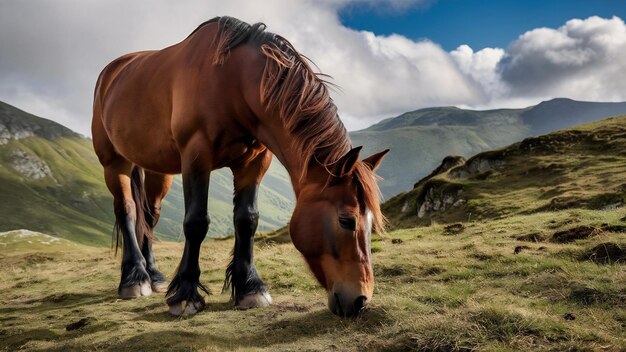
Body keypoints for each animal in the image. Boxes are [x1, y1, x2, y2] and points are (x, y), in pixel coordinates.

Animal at [91, 16, 388, 318]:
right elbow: (196, 222)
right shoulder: (196, 155)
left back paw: (154, 275)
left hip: (157, 170)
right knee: (126, 210)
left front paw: (249, 289)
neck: (232, 82)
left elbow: (247, 220)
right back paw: (134, 279)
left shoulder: (254, 162)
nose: (360, 300)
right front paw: (186, 294)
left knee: (150, 216)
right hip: (114, 163)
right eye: (346, 220)